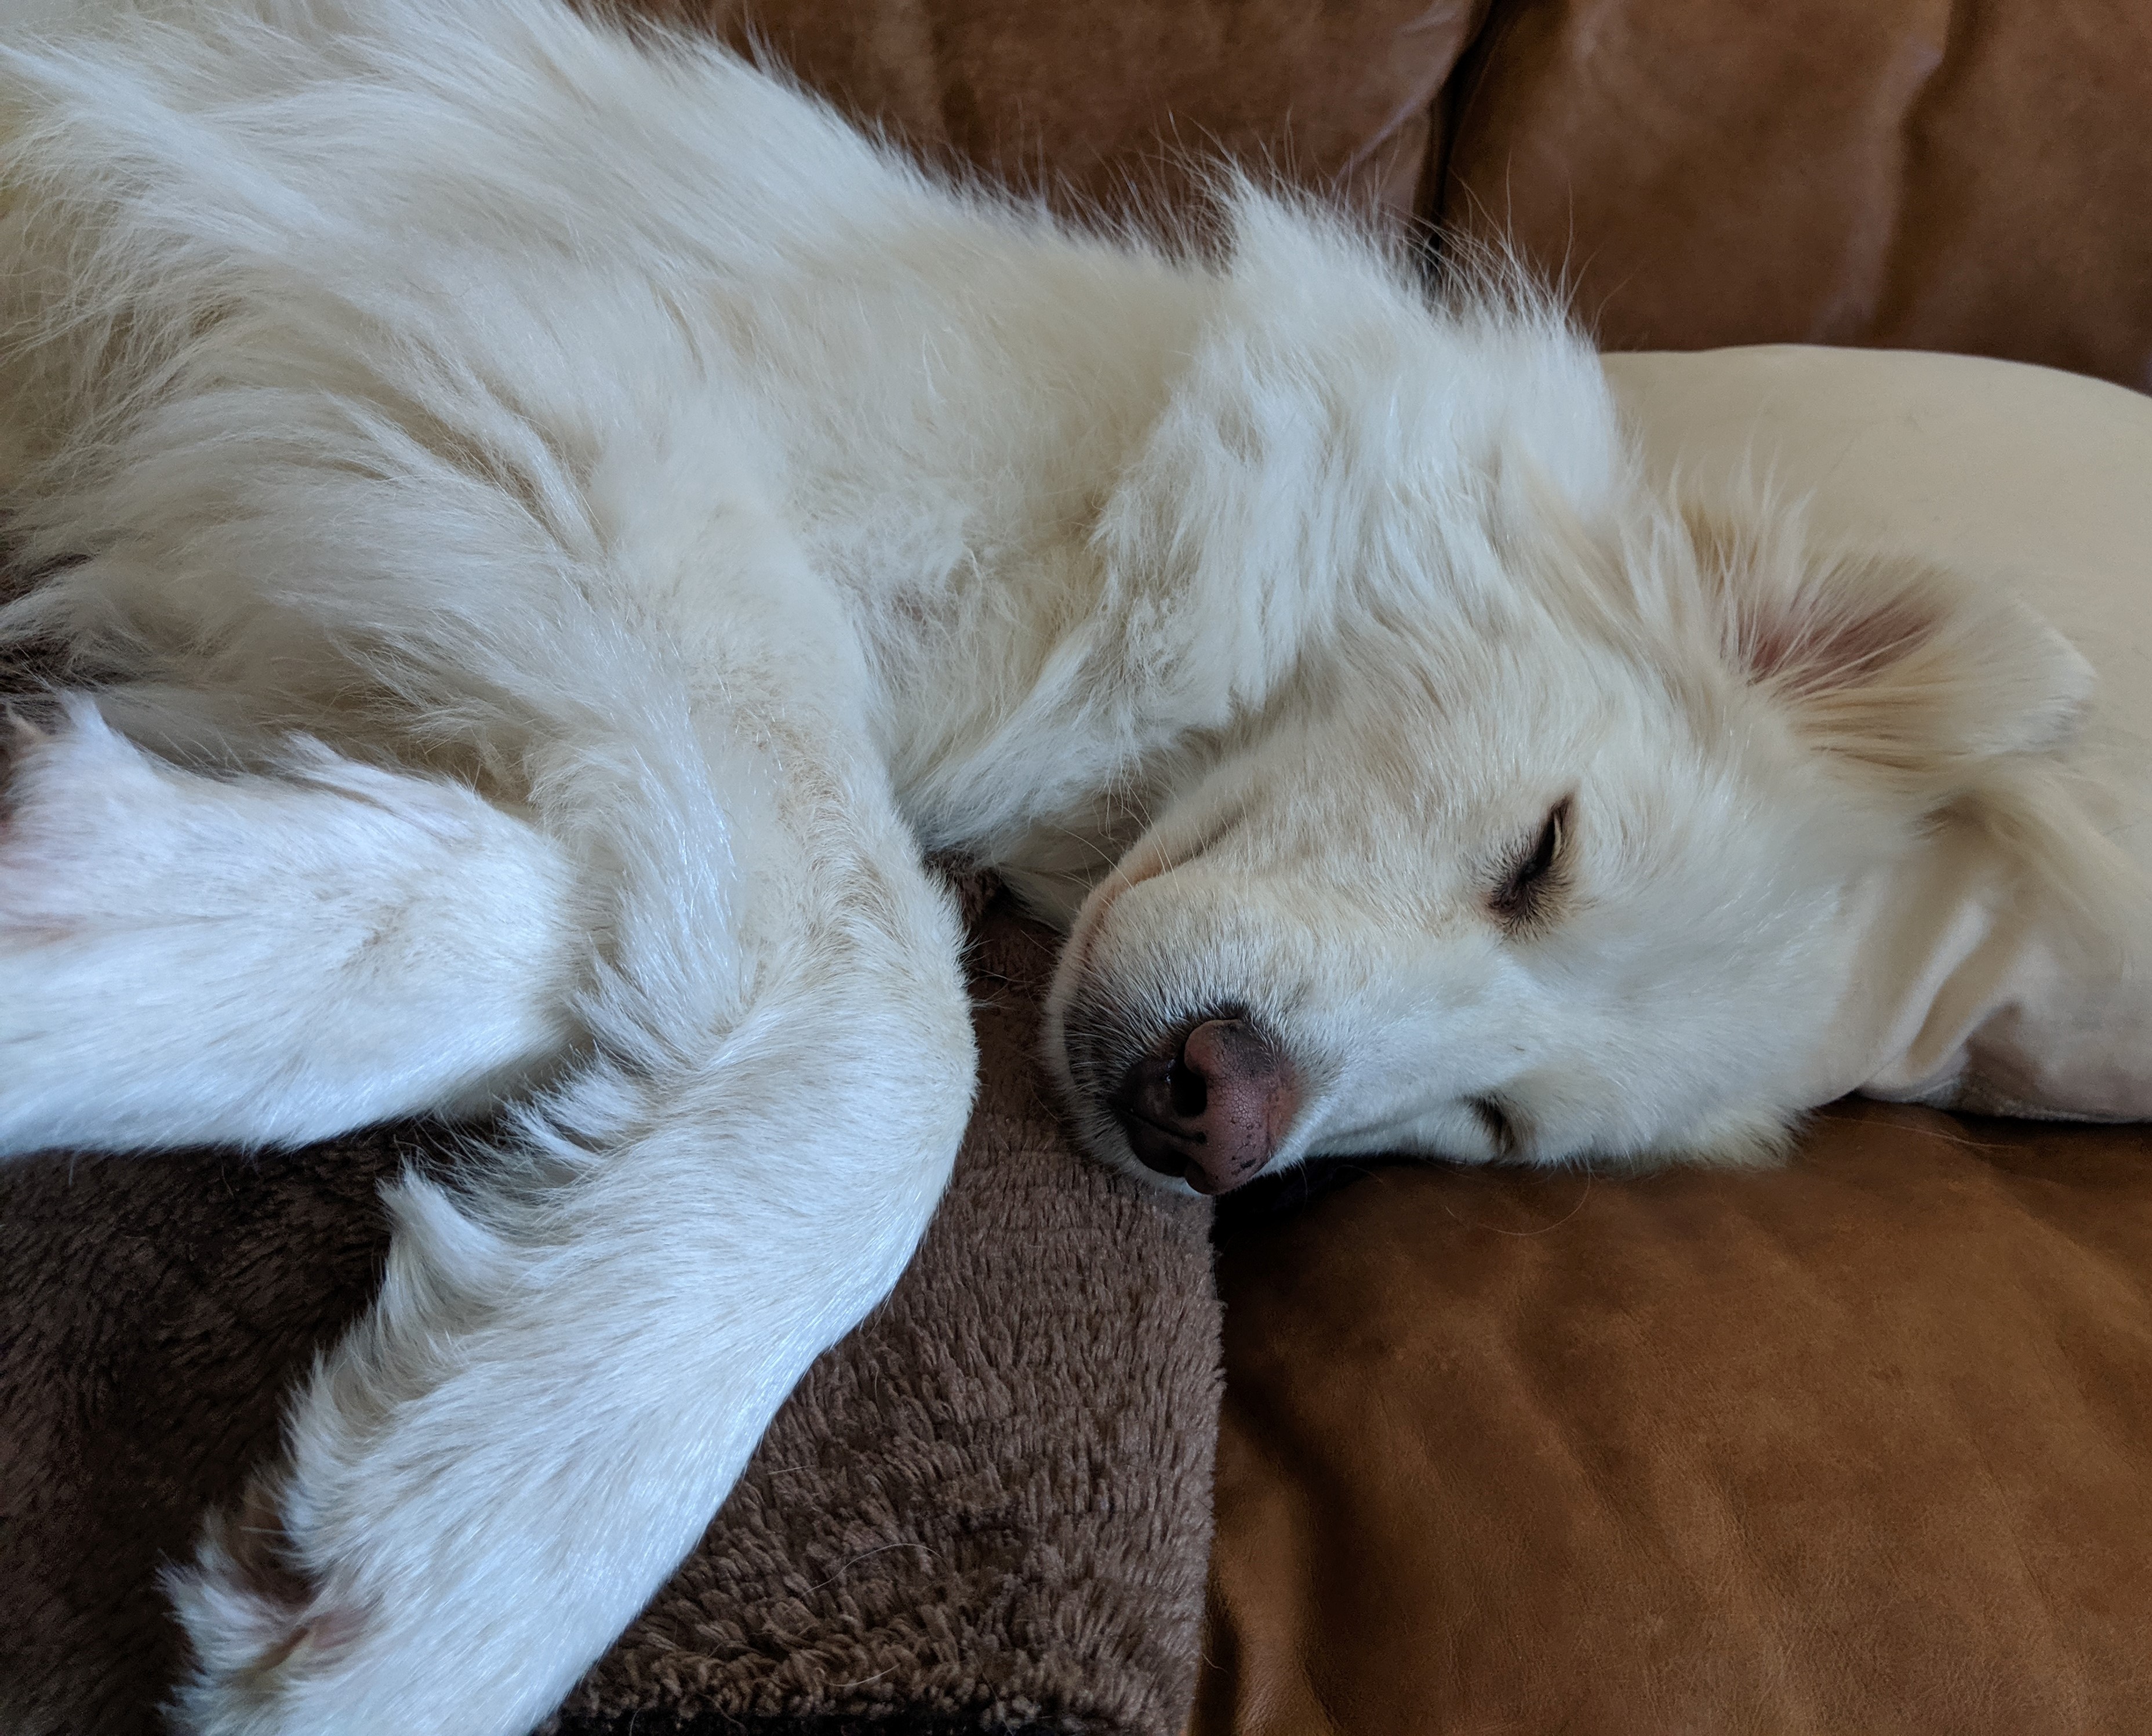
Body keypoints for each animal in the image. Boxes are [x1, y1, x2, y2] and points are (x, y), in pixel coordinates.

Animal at [1, 0, 2137, 1730]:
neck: (1105, 509)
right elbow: (891, 1011)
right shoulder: (544, 400)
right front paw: (512, 1520)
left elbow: (605, 921)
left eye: (1499, 1126)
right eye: (1544, 854)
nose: (1219, 1115)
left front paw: (128, 923)